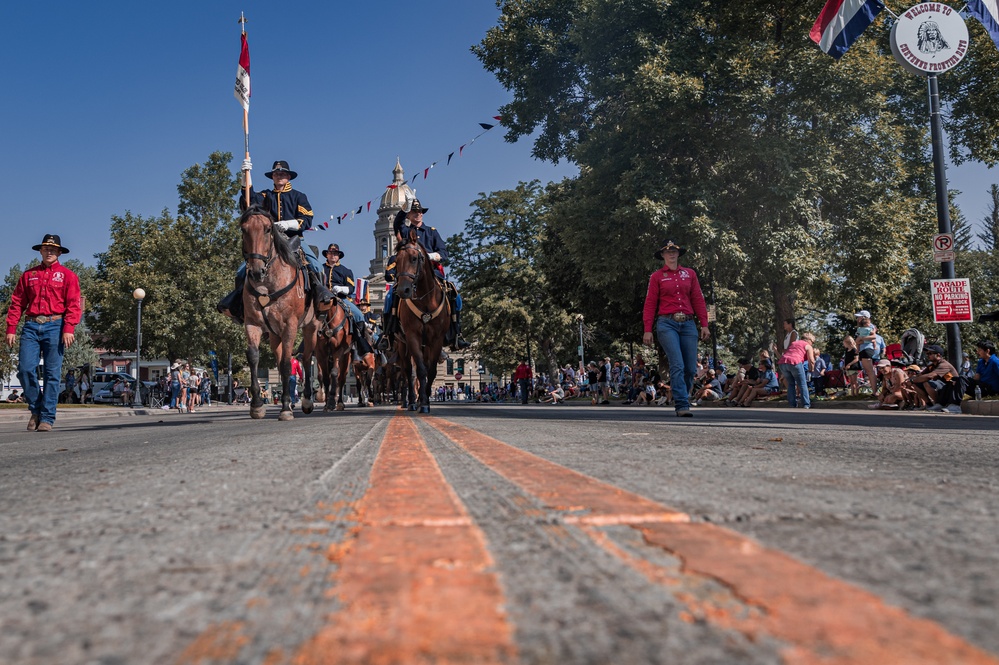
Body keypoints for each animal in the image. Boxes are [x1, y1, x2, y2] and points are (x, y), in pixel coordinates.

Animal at [238, 206, 316, 420]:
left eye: (267, 229)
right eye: (244, 229)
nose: (256, 271)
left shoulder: (290, 325)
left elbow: (289, 364)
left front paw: (286, 408)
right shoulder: (252, 323)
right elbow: (254, 357)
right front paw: (257, 405)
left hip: (311, 327)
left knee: (306, 359)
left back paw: (307, 400)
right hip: (274, 335)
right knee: (280, 361)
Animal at [394, 231, 450, 412]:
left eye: (414, 258)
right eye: (396, 260)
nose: (403, 290)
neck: (426, 300)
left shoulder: (437, 339)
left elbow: (431, 371)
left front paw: (425, 401)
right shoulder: (412, 336)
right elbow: (419, 371)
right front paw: (422, 402)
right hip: (403, 345)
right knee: (408, 372)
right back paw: (412, 402)